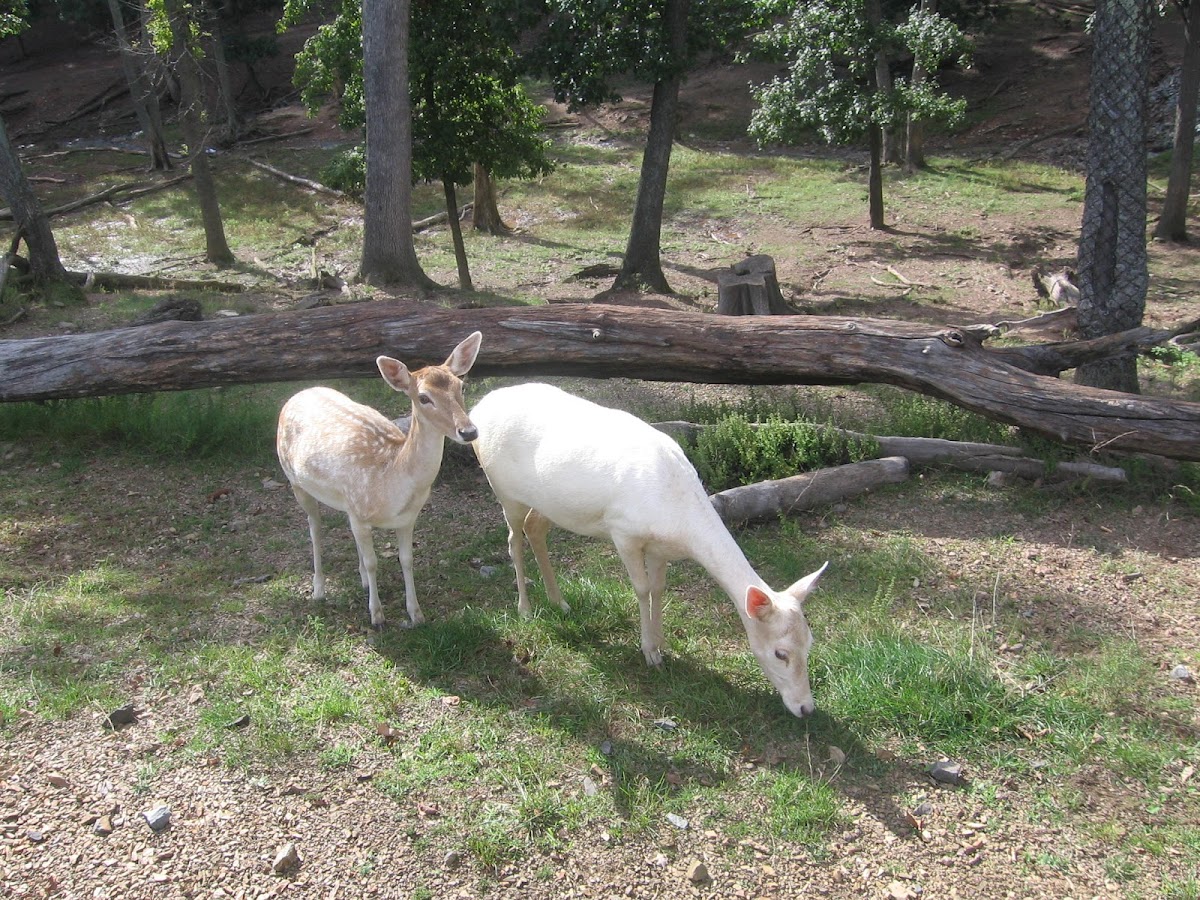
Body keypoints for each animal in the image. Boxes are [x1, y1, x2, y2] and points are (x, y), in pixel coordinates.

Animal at [277, 331, 482, 628]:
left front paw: (416, 613)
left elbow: (406, 559)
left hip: (345, 500)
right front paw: (377, 616)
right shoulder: (361, 514)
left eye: (461, 387)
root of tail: (297, 394)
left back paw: (361, 580)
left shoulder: (406, 517)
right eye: (423, 397)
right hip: (294, 480)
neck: (392, 482)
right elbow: (375, 561)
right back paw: (319, 589)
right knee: (314, 527)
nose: (468, 431)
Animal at [472, 384, 830, 724]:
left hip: (549, 504)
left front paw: (662, 645)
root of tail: (479, 407)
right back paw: (525, 609)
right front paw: (648, 652)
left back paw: (559, 602)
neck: (677, 517)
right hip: (503, 489)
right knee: (513, 539)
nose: (806, 708)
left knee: (535, 529)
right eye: (780, 653)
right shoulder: (623, 532)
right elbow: (642, 588)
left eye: (810, 642)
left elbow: (659, 589)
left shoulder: (660, 548)